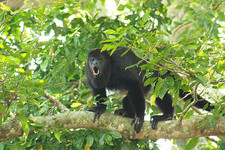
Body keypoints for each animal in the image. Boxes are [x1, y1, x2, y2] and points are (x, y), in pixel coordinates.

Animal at [85, 46, 214, 132]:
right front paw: (100, 108)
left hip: (157, 73)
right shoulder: (88, 71)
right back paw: (127, 113)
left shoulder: (119, 64)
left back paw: (166, 116)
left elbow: (133, 83)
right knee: (127, 99)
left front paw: (139, 118)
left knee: (159, 91)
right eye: (92, 60)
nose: (95, 63)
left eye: (100, 59)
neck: (108, 66)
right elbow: (97, 87)